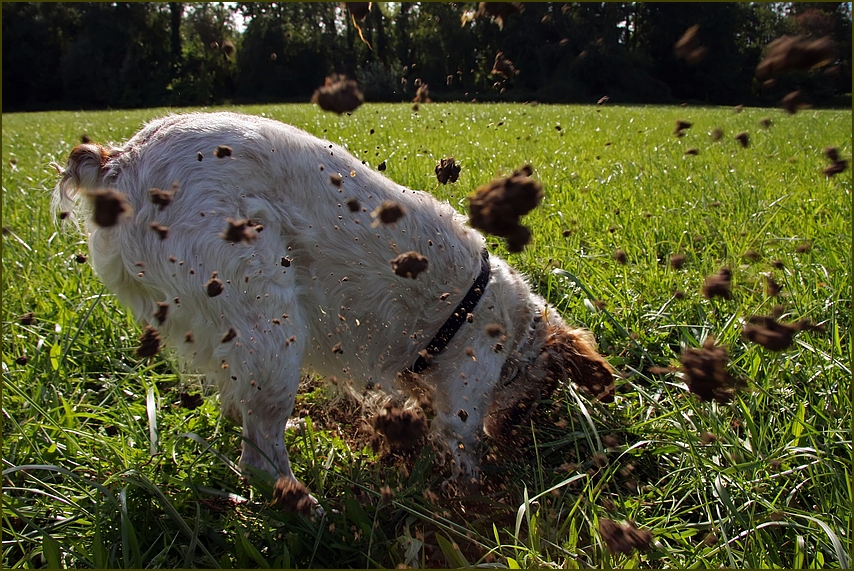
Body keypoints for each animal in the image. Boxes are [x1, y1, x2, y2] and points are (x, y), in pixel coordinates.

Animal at [53, 114, 612, 494]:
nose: (521, 437)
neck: (509, 320)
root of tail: (118, 158)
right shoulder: (465, 395)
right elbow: (463, 450)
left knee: (243, 414)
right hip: (270, 325)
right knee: (259, 459)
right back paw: (308, 511)